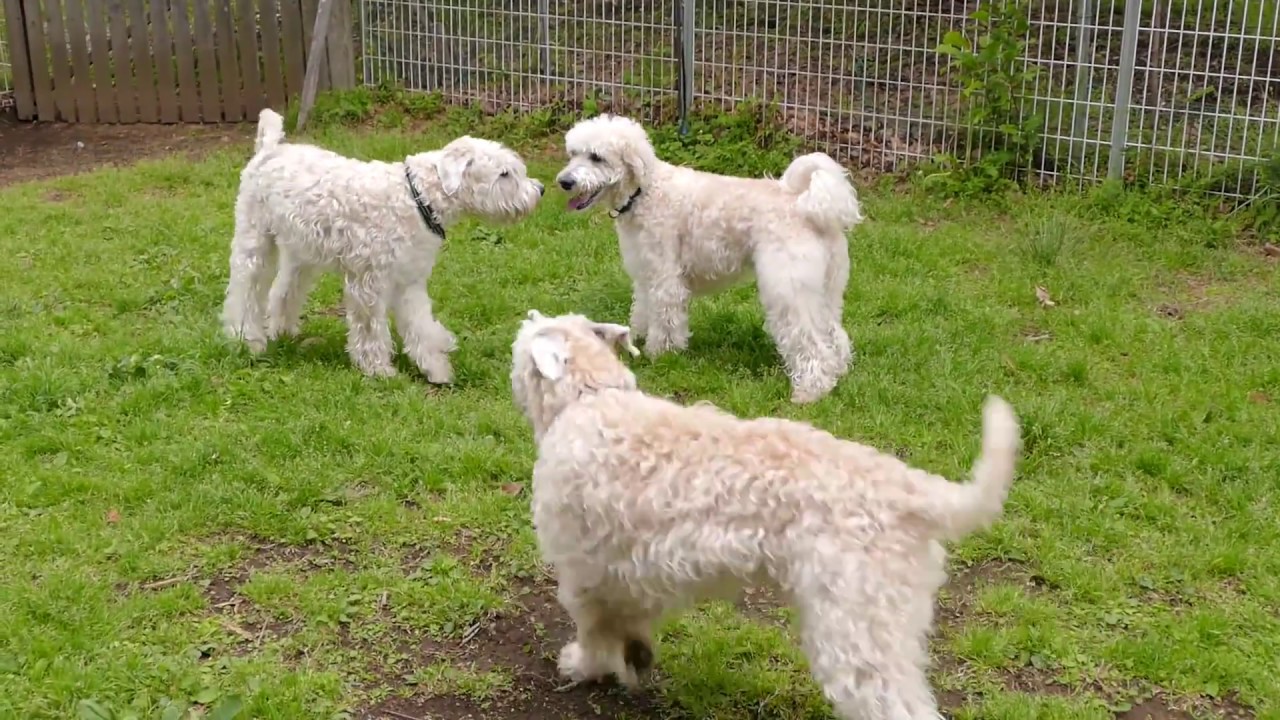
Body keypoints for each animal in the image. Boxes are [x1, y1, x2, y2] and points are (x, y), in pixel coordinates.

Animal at [222, 108, 542, 379]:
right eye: (504, 173)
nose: (539, 189)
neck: (418, 198)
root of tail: (268, 149)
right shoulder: (369, 282)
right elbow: (371, 330)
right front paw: (378, 369)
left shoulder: (409, 280)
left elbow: (420, 325)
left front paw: (437, 368)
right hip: (254, 241)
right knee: (245, 292)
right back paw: (247, 339)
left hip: (302, 254)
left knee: (283, 291)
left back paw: (283, 330)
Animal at [509, 308, 1018, 717]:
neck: (589, 398)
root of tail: (912, 490)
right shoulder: (629, 570)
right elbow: (628, 623)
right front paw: (635, 658)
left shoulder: (581, 569)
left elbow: (594, 629)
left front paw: (583, 665)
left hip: (857, 634)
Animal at [555, 114, 865, 399]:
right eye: (573, 153)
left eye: (596, 157)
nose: (564, 182)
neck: (645, 191)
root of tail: (805, 203)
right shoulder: (645, 274)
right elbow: (643, 310)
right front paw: (635, 337)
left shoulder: (666, 277)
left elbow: (666, 319)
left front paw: (661, 354)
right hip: (825, 290)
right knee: (835, 336)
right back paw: (838, 373)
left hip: (789, 291)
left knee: (811, 344)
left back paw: (810, 391)